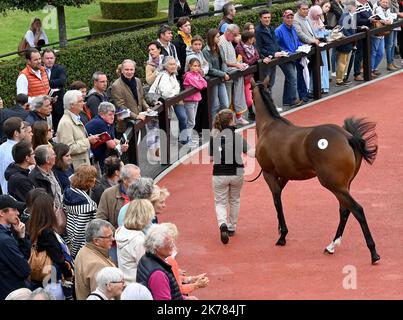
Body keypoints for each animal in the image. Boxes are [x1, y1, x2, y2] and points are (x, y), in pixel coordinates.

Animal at [254, 84, 380, 264]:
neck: (270, 125)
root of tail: (348, 137)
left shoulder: (268, 173)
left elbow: (277, 201)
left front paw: (282, 235)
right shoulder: (284, 175)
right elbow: (278, 198)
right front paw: (280, 230)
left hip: (334, 185)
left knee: (357, 209)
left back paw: (373, 252)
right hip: (344, 186)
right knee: (345, 210)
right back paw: (331, 246)